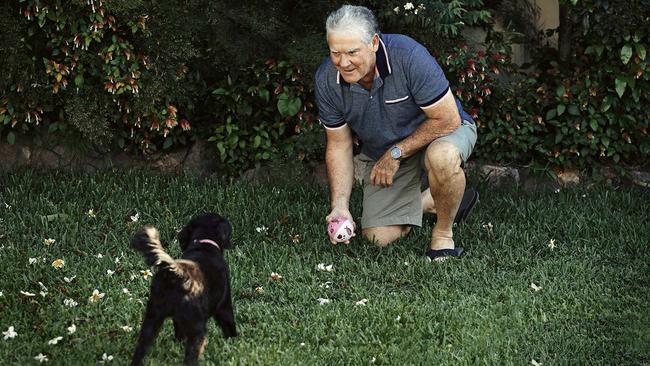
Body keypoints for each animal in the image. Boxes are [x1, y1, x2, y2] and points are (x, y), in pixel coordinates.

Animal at [129, 213, 235, 364]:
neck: (204, 244)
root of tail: (177, 273)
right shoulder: (224, 305)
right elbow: (229, 325)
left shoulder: (176, 319)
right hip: (197, 326)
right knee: (191, 356)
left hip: (152, 317)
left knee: (141, 348)